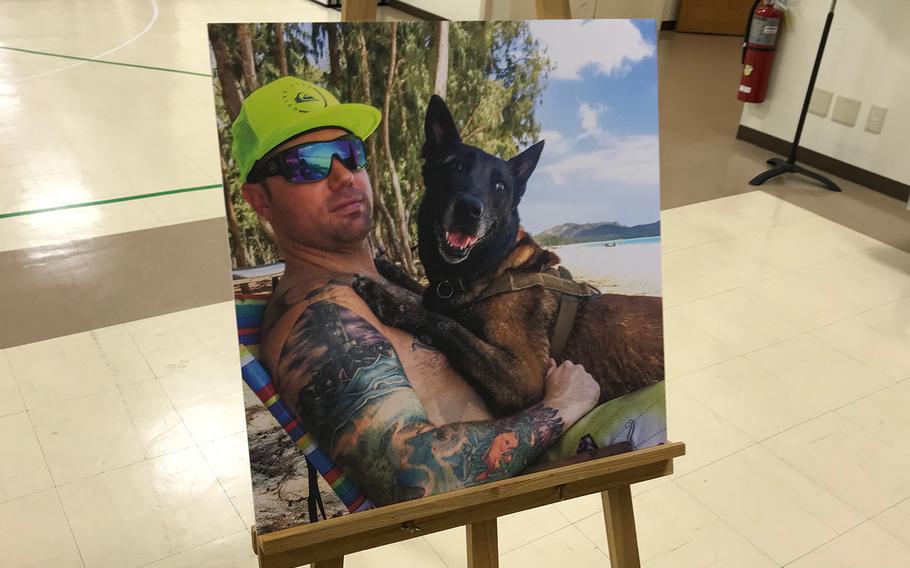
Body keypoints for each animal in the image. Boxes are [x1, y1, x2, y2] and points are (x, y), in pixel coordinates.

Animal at [354, 95, 664, 418]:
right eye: (455, 166)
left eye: (500, 186)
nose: (469, 209)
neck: (495, 267)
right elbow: (431, 301)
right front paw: (388, 267)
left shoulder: (525, 379)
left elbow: (447, 324)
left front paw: (388, 300)